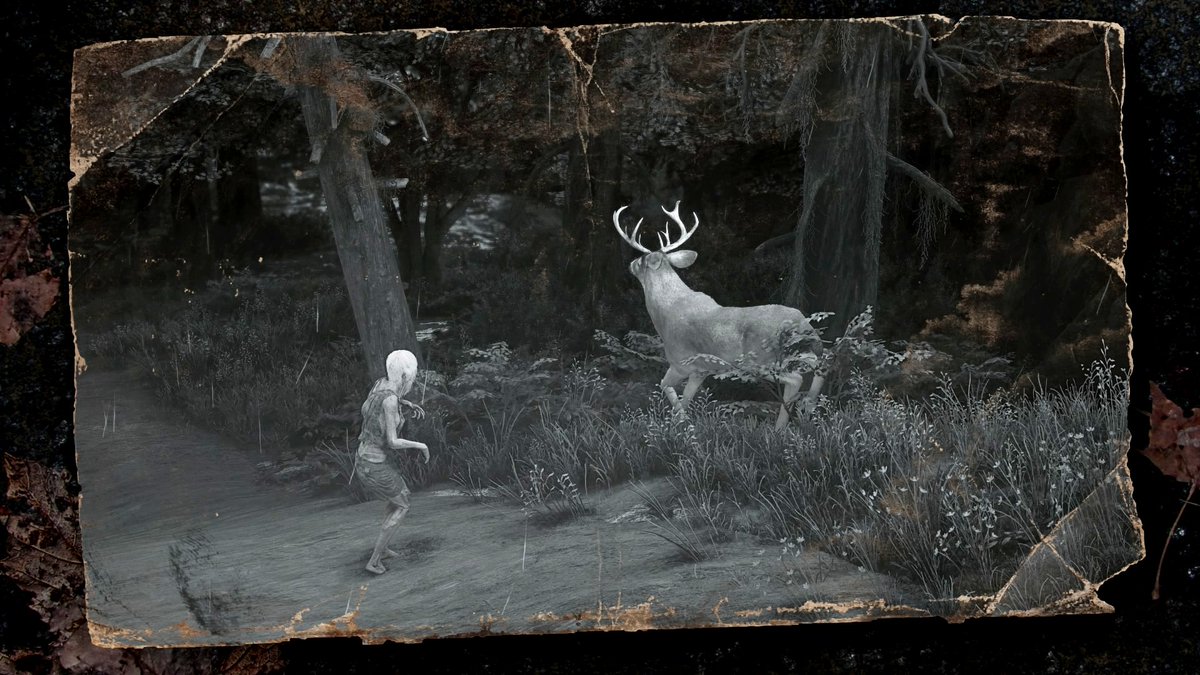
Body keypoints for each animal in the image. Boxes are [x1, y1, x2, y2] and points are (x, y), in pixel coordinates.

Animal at [613, 202, 826, 431]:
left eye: (642, 260)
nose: (630, 264)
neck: (665, 309)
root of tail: (801, 323)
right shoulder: (700, 371)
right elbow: (685, 399)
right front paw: (683, 425)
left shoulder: (680, 361)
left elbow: (665, 386)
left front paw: (683, 426)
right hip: (803, 349)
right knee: (820, 366)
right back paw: (808, 412)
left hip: (762, 359)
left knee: (796, 379)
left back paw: (780, 427)